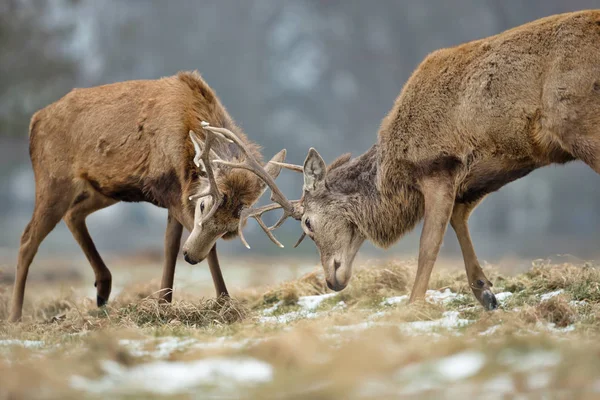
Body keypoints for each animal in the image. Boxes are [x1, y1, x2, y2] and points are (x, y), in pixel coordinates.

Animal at [8, 71, 288, 322]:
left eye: (232, 226)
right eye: (203, 205)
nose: (191, 257)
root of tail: (35, 120)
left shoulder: (176, 195)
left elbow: (170, 245)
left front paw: (164, 302)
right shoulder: (173, 193)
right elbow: (191, 246)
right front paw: (223, 301)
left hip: (105, 189)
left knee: (73, 214)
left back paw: (103, 289)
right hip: (54, 179)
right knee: (28, 238)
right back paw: (15, 316)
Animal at [230, 9, 600, 310]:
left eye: (307, 223)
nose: (332, 281)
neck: (393, 177)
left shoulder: (437, 166)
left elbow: (428, 245)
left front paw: (413, 304)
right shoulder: (473, 175)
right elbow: (459, 219)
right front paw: (485, 292)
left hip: (579, 124)